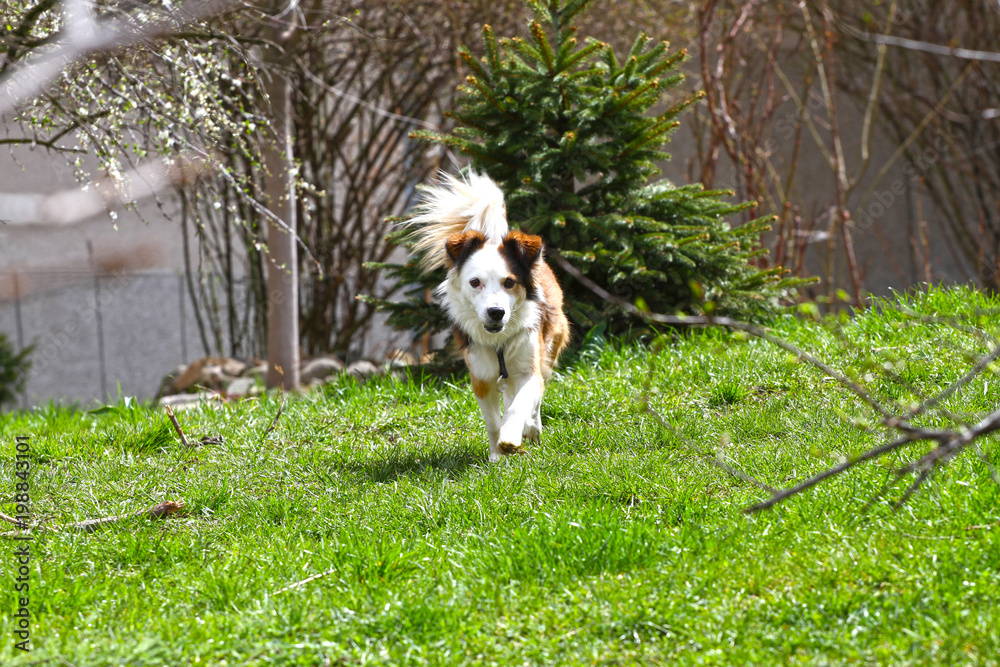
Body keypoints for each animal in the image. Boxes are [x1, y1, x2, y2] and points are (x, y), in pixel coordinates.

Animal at [402, 174, 568, 464]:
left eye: (509, 282)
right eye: (475, 282)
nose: (496, 312)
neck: (498, 341)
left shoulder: (529, 368)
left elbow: (521, 404)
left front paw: (511, 438)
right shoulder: (481, 378)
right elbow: (492, 421)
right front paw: (497, 455)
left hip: (549, 347)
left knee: (534, 397)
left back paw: (531, 428)